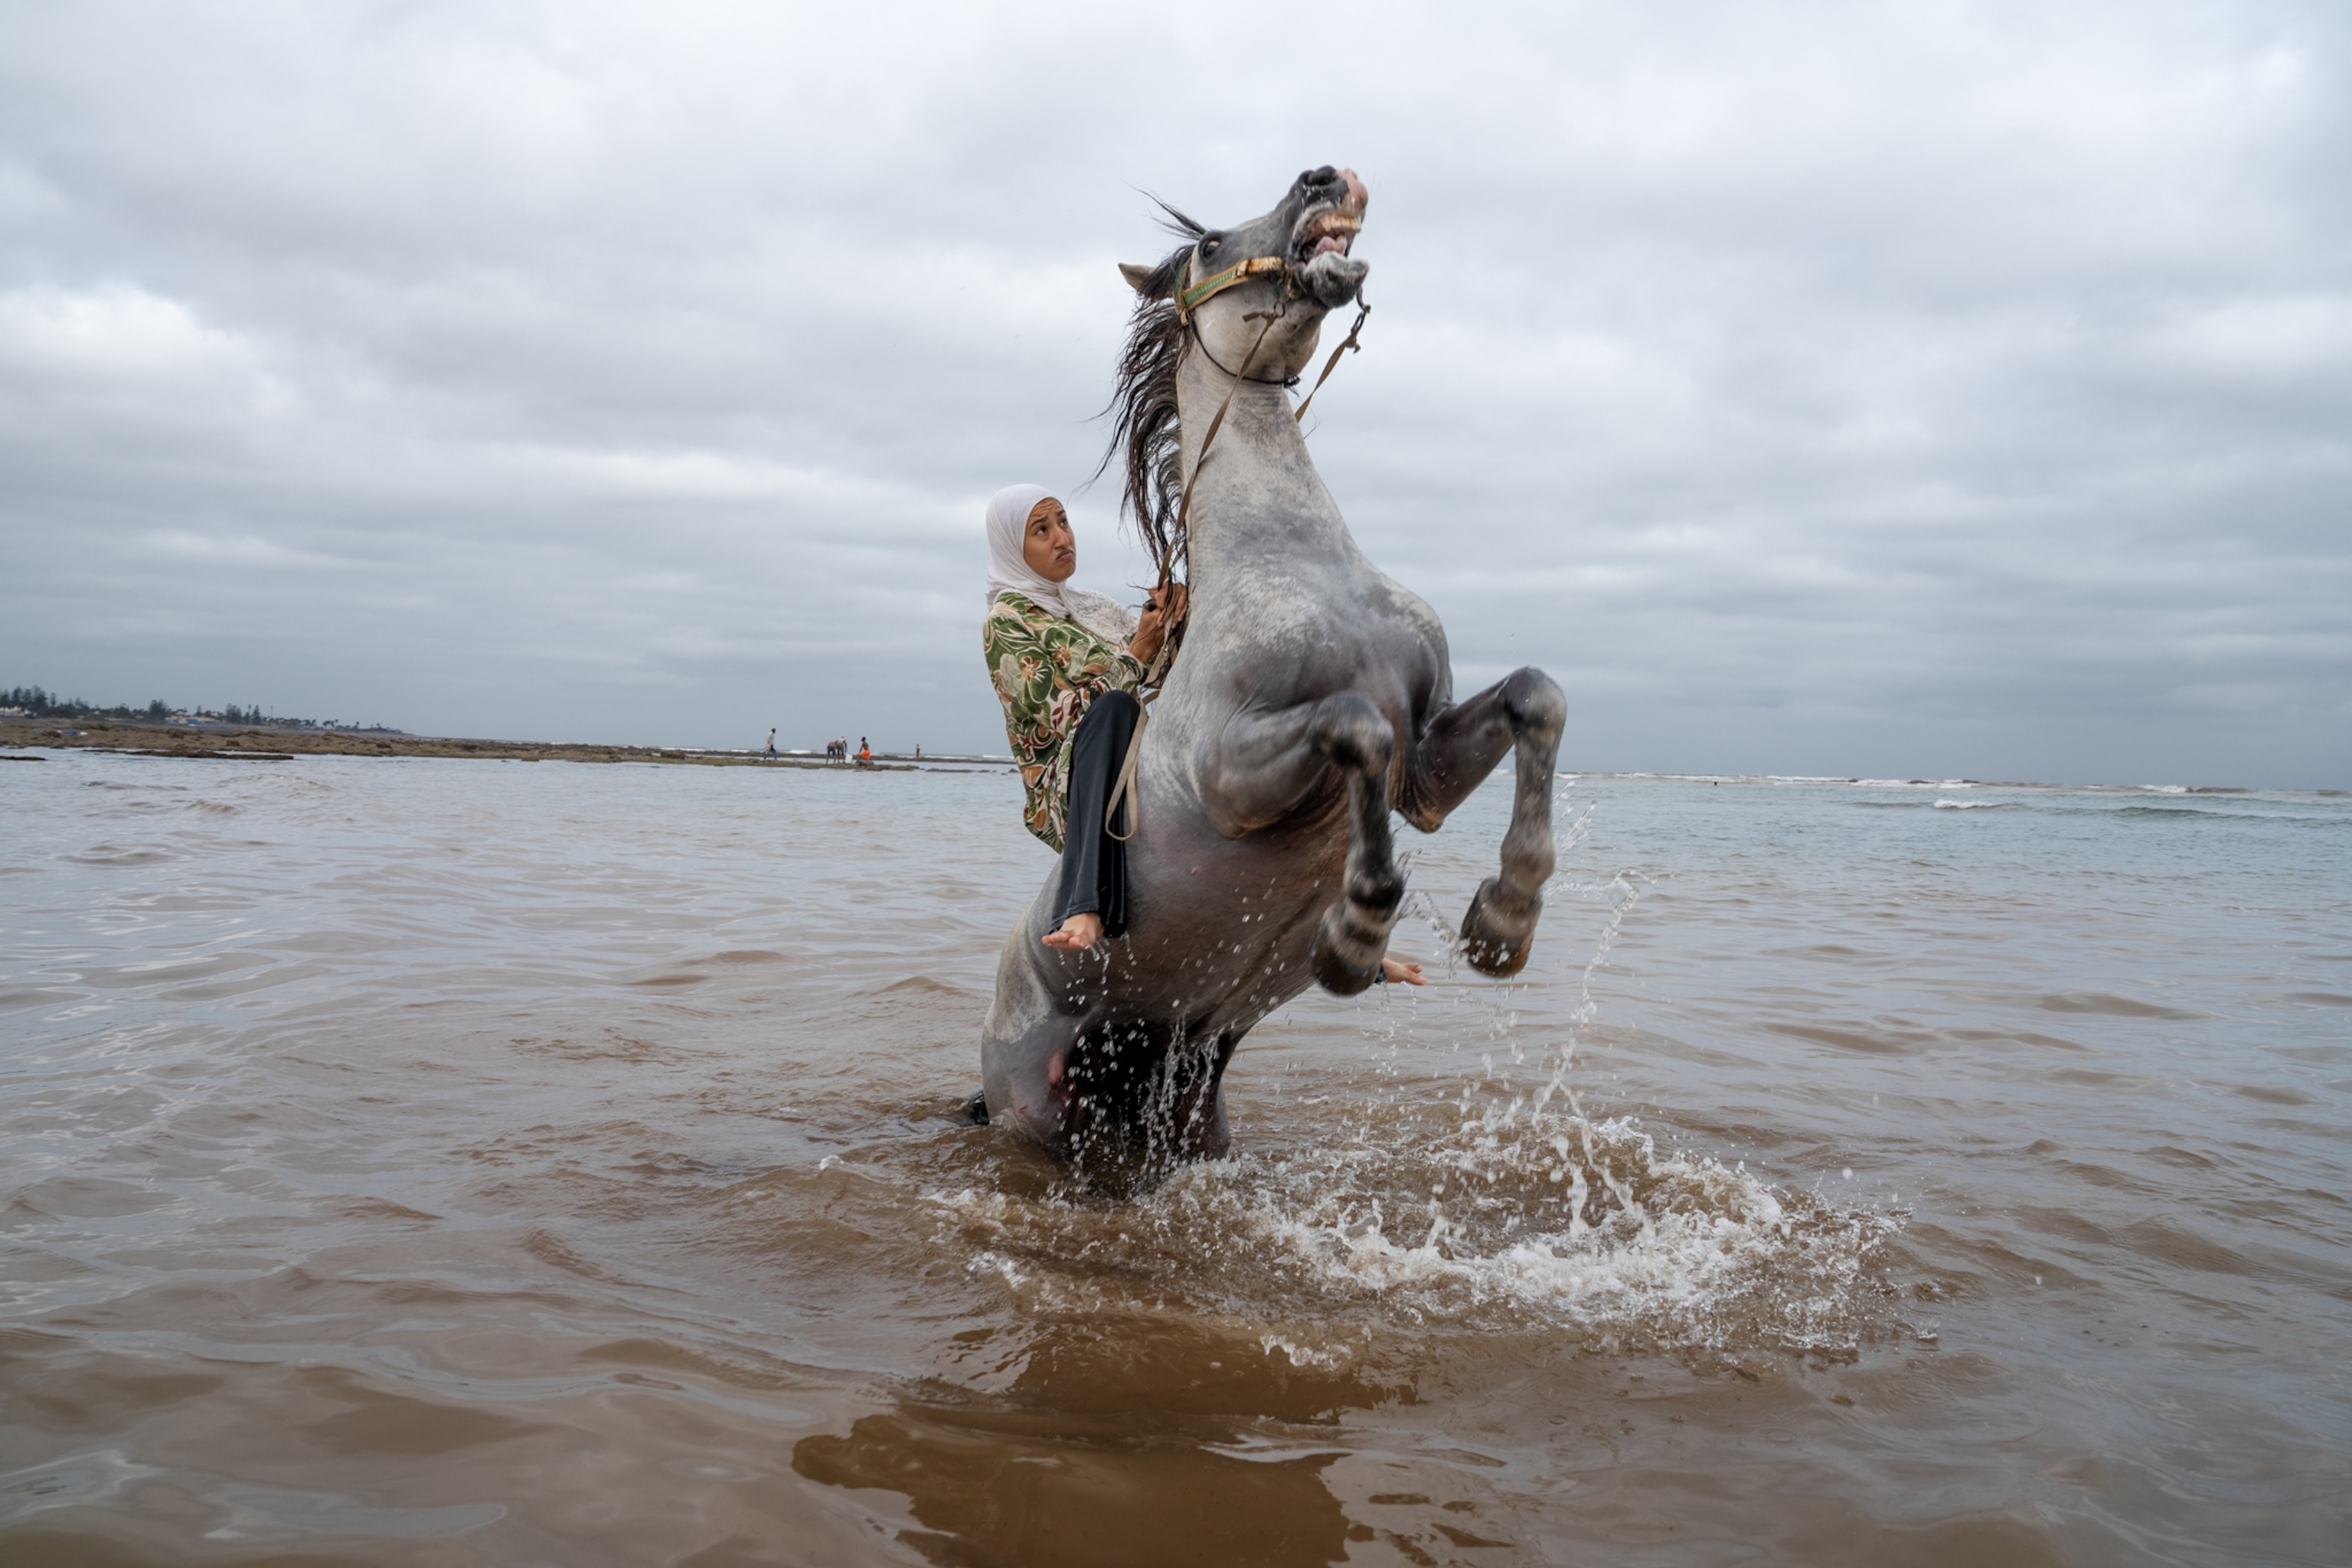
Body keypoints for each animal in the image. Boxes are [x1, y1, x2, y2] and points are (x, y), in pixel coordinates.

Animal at [980, 166, 1565, 1173]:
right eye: (1211, 243)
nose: (1324, 180)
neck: (1295, 556)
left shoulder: (1428, 767)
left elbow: (1537, 695)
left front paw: (1503, 920)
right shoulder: (1232, 773)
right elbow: (1355, 725)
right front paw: (1357, 931)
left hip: (1187, 1091)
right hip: (1039, 1116)